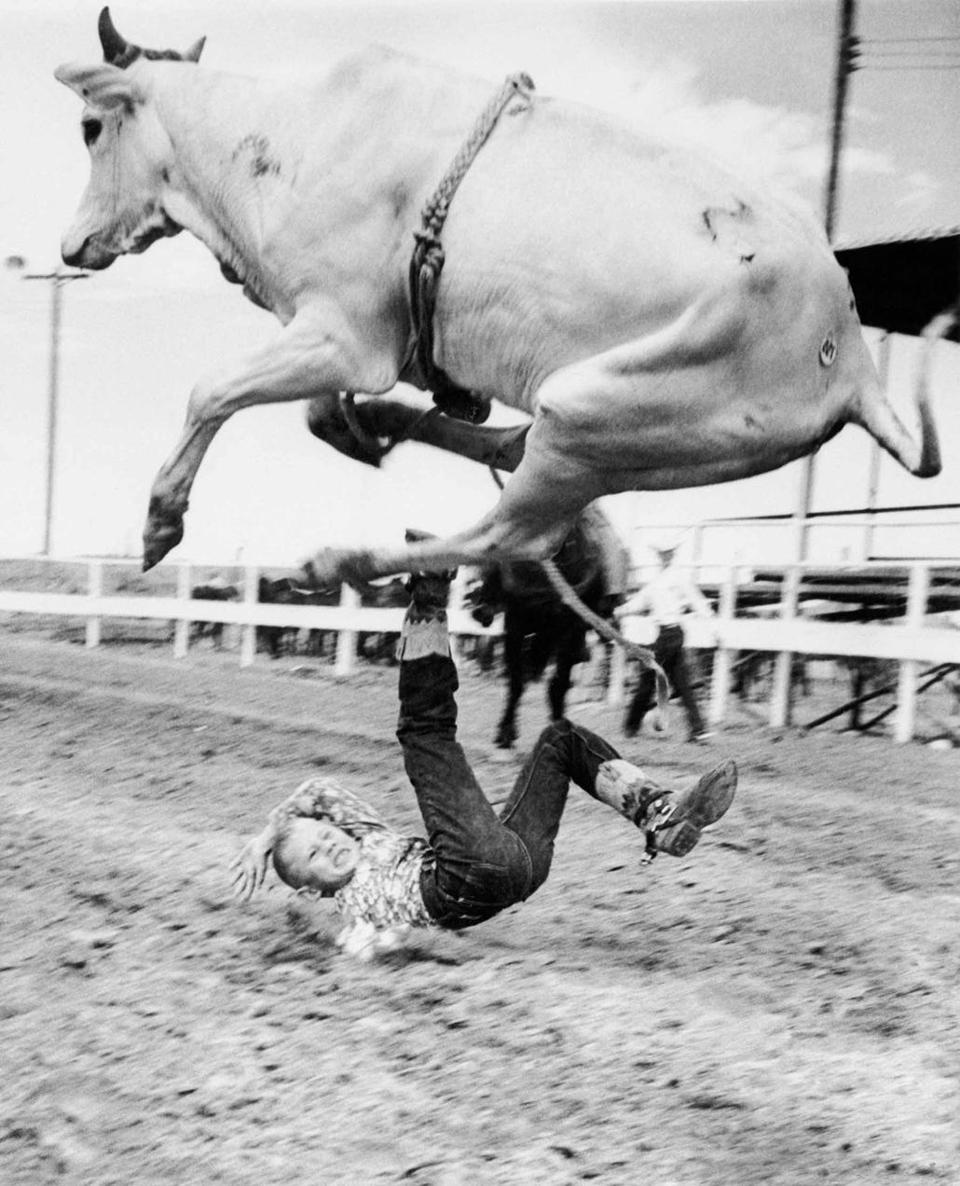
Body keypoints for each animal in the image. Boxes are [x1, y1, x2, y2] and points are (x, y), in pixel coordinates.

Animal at [56, 9, 939, 583]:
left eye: (91, 128)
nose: (70, 248)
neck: (284, 143)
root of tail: (852, 360)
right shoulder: (354, 342)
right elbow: (319, 414)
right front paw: (371, 427)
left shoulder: (345, 335)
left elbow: (212, 390)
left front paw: (160, 524)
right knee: (516, 478)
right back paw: (423, 441)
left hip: (594, 407)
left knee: (513, 535)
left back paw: (336, 559)